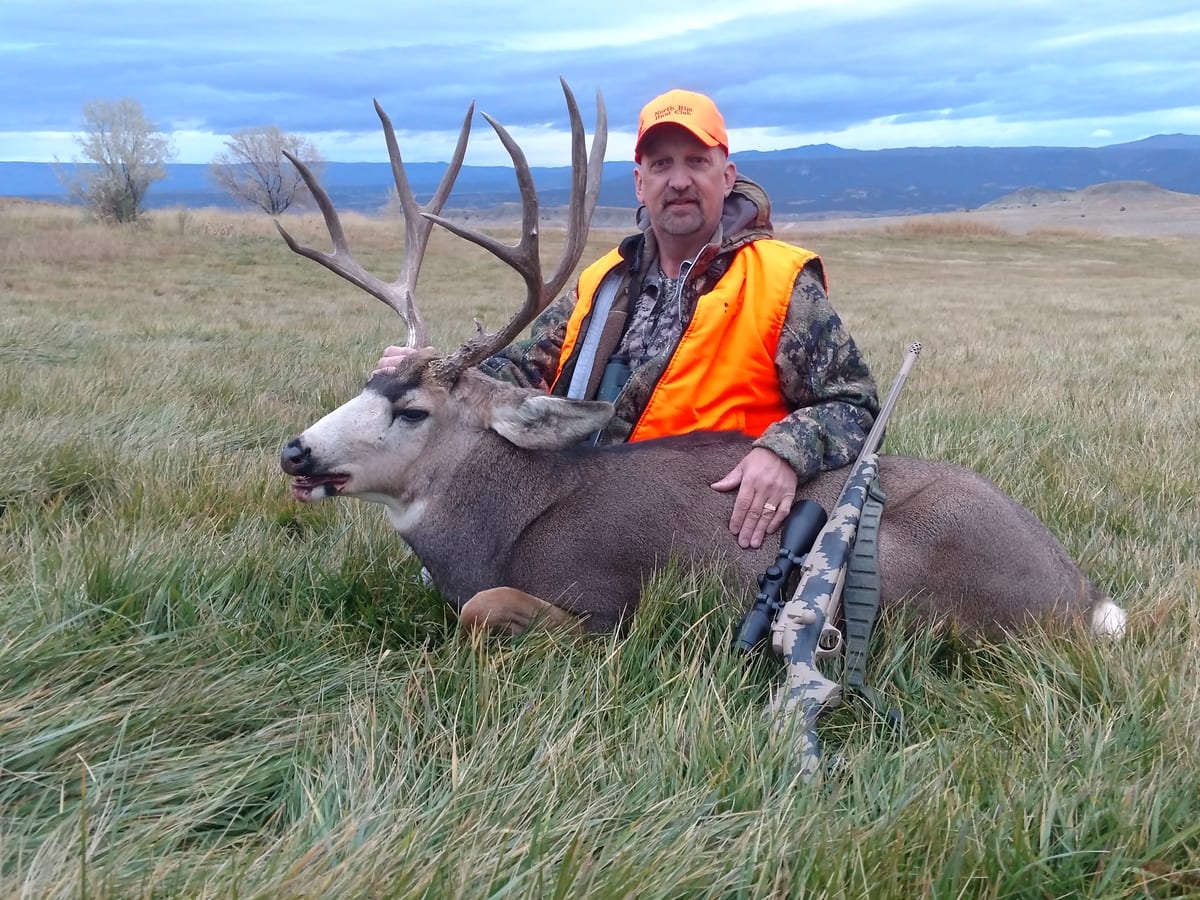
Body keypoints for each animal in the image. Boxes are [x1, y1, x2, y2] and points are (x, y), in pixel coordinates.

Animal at [277, 80, 1127, 643]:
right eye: (368, 380)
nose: (296, 451)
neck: (503, 521)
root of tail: (1080, 593)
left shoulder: (606, 601)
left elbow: (488, 610)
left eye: (412, 409)